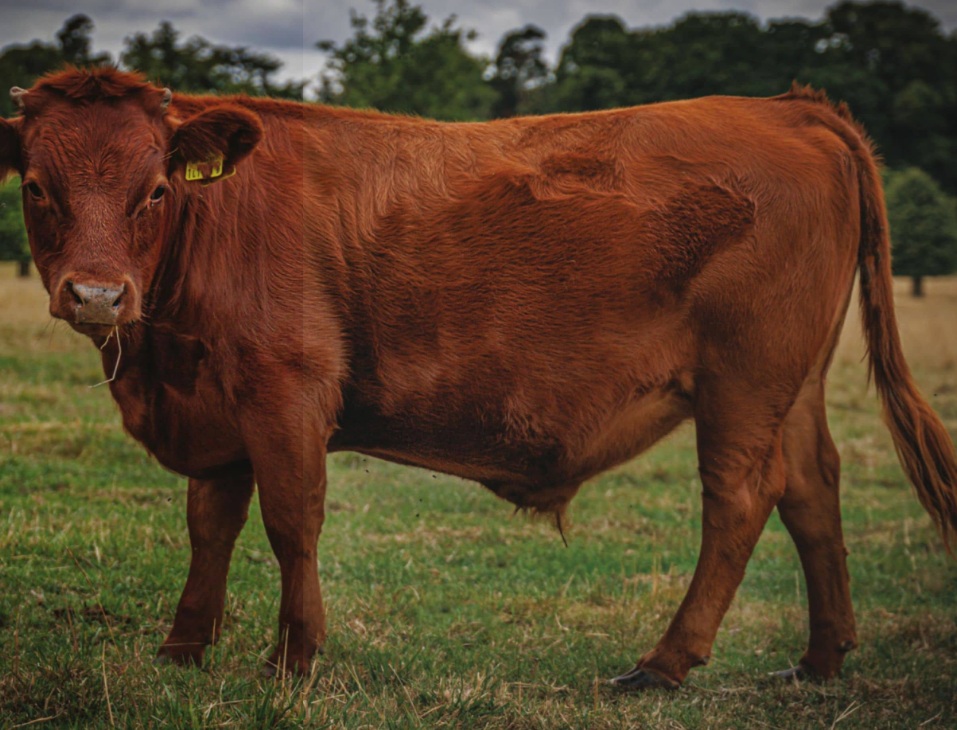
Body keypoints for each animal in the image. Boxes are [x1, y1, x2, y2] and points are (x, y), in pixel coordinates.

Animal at [1, 66, 955, 688]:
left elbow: (290, 523)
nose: (97, 293)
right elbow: (211, 527)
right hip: (792, 384)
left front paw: (293, 660)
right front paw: (182, 651)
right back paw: (819, 661)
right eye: (38, 187)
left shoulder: (285, 392)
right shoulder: (217, 411)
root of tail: (791, 109)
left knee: (740, 499)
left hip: (744, 381)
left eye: (156, 189)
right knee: (812, 490)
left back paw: (663, 664)